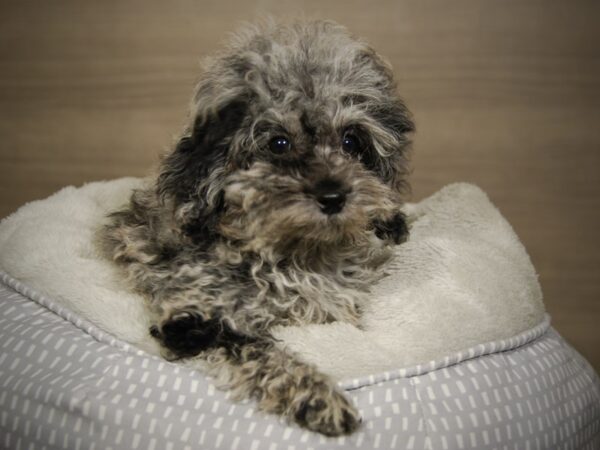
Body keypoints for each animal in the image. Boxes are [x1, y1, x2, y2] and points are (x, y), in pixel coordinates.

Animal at [102, 20, 412, 436]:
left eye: (351, 141)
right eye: (278, 143)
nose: (333, 196)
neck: (292, 255)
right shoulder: (193, 322)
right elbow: (264, 354)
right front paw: (319, 396)